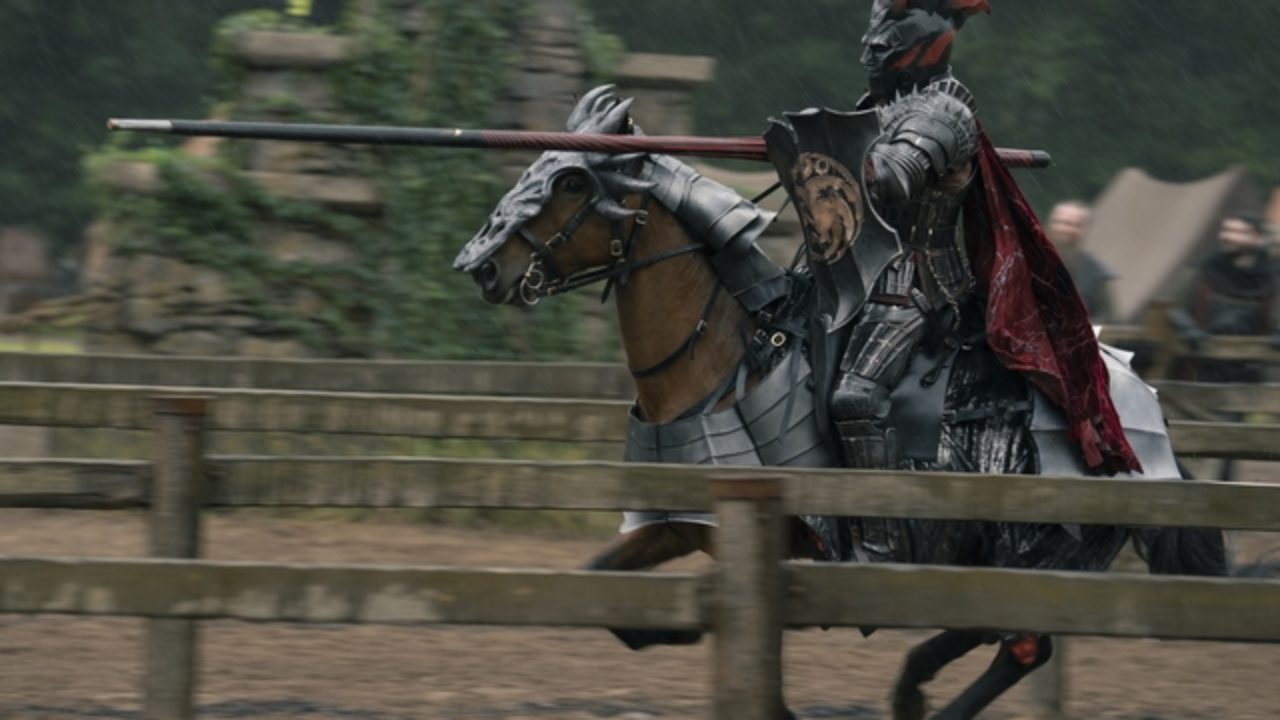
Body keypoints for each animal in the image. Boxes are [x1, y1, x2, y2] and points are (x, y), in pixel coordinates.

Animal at [452, 86, 1229, 720]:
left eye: (571, 181)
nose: (481, 267)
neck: (726, 360)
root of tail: (1140, 424)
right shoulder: (679, 522)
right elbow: (610, 601)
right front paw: (677, 625)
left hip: (1039, 545)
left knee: (1018, 641)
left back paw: (914, 691)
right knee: (1002, 635)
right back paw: (914, 688)